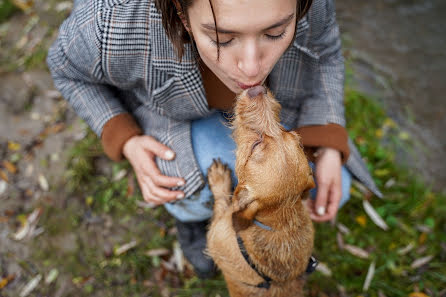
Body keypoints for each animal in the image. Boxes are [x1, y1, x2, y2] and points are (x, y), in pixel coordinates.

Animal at [207, 84, 316, 294]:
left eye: (255, 146)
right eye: (288, 132)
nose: (257, 89)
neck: (280, 222)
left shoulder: (217, 232)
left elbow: (223, 201)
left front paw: (218, 178)